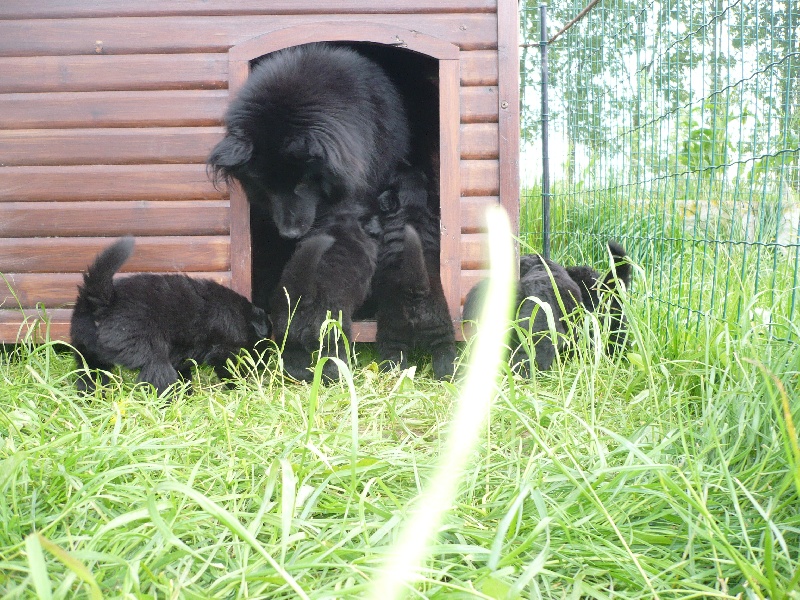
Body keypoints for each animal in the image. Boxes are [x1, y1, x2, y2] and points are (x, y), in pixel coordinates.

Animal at [69, 237, 268, 396]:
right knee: (159, 378)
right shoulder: (225, 351)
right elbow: (230, 368)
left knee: (90, 377)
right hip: (152, 355)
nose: (264, 366)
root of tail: (104, 301)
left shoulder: (181, 356)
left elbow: (184, 373)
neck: (241, 316)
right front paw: (240, 386)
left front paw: (188, 392)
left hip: (87, 354)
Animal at [272, 213, 378, 382]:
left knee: (294, 366)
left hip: (287, 338)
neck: (340, 230)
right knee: (332, 364)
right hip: (334, 335)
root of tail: (303, 299)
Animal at [370, 166, 454, 378]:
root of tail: (415, 292)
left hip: (392, 332)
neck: (412, 208)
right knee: (444, 355)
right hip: (441, 330)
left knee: (393, 358)